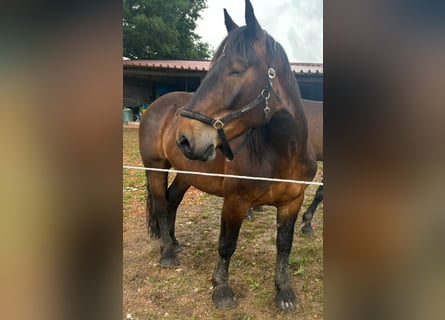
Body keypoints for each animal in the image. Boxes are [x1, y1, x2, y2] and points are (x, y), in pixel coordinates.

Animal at [139, 0, 316, 310]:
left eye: (237, 69)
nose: (184, 138)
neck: (284, 154)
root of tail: (156, 106)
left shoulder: (292, 202)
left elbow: (284, 244)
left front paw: (284, 291)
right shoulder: (235, 201)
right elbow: (227, 244)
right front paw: (221, 288)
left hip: (187, 173)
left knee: (172, 202)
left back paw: (173, 242)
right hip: (155, 168)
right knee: (161, 206)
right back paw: (167, 253)